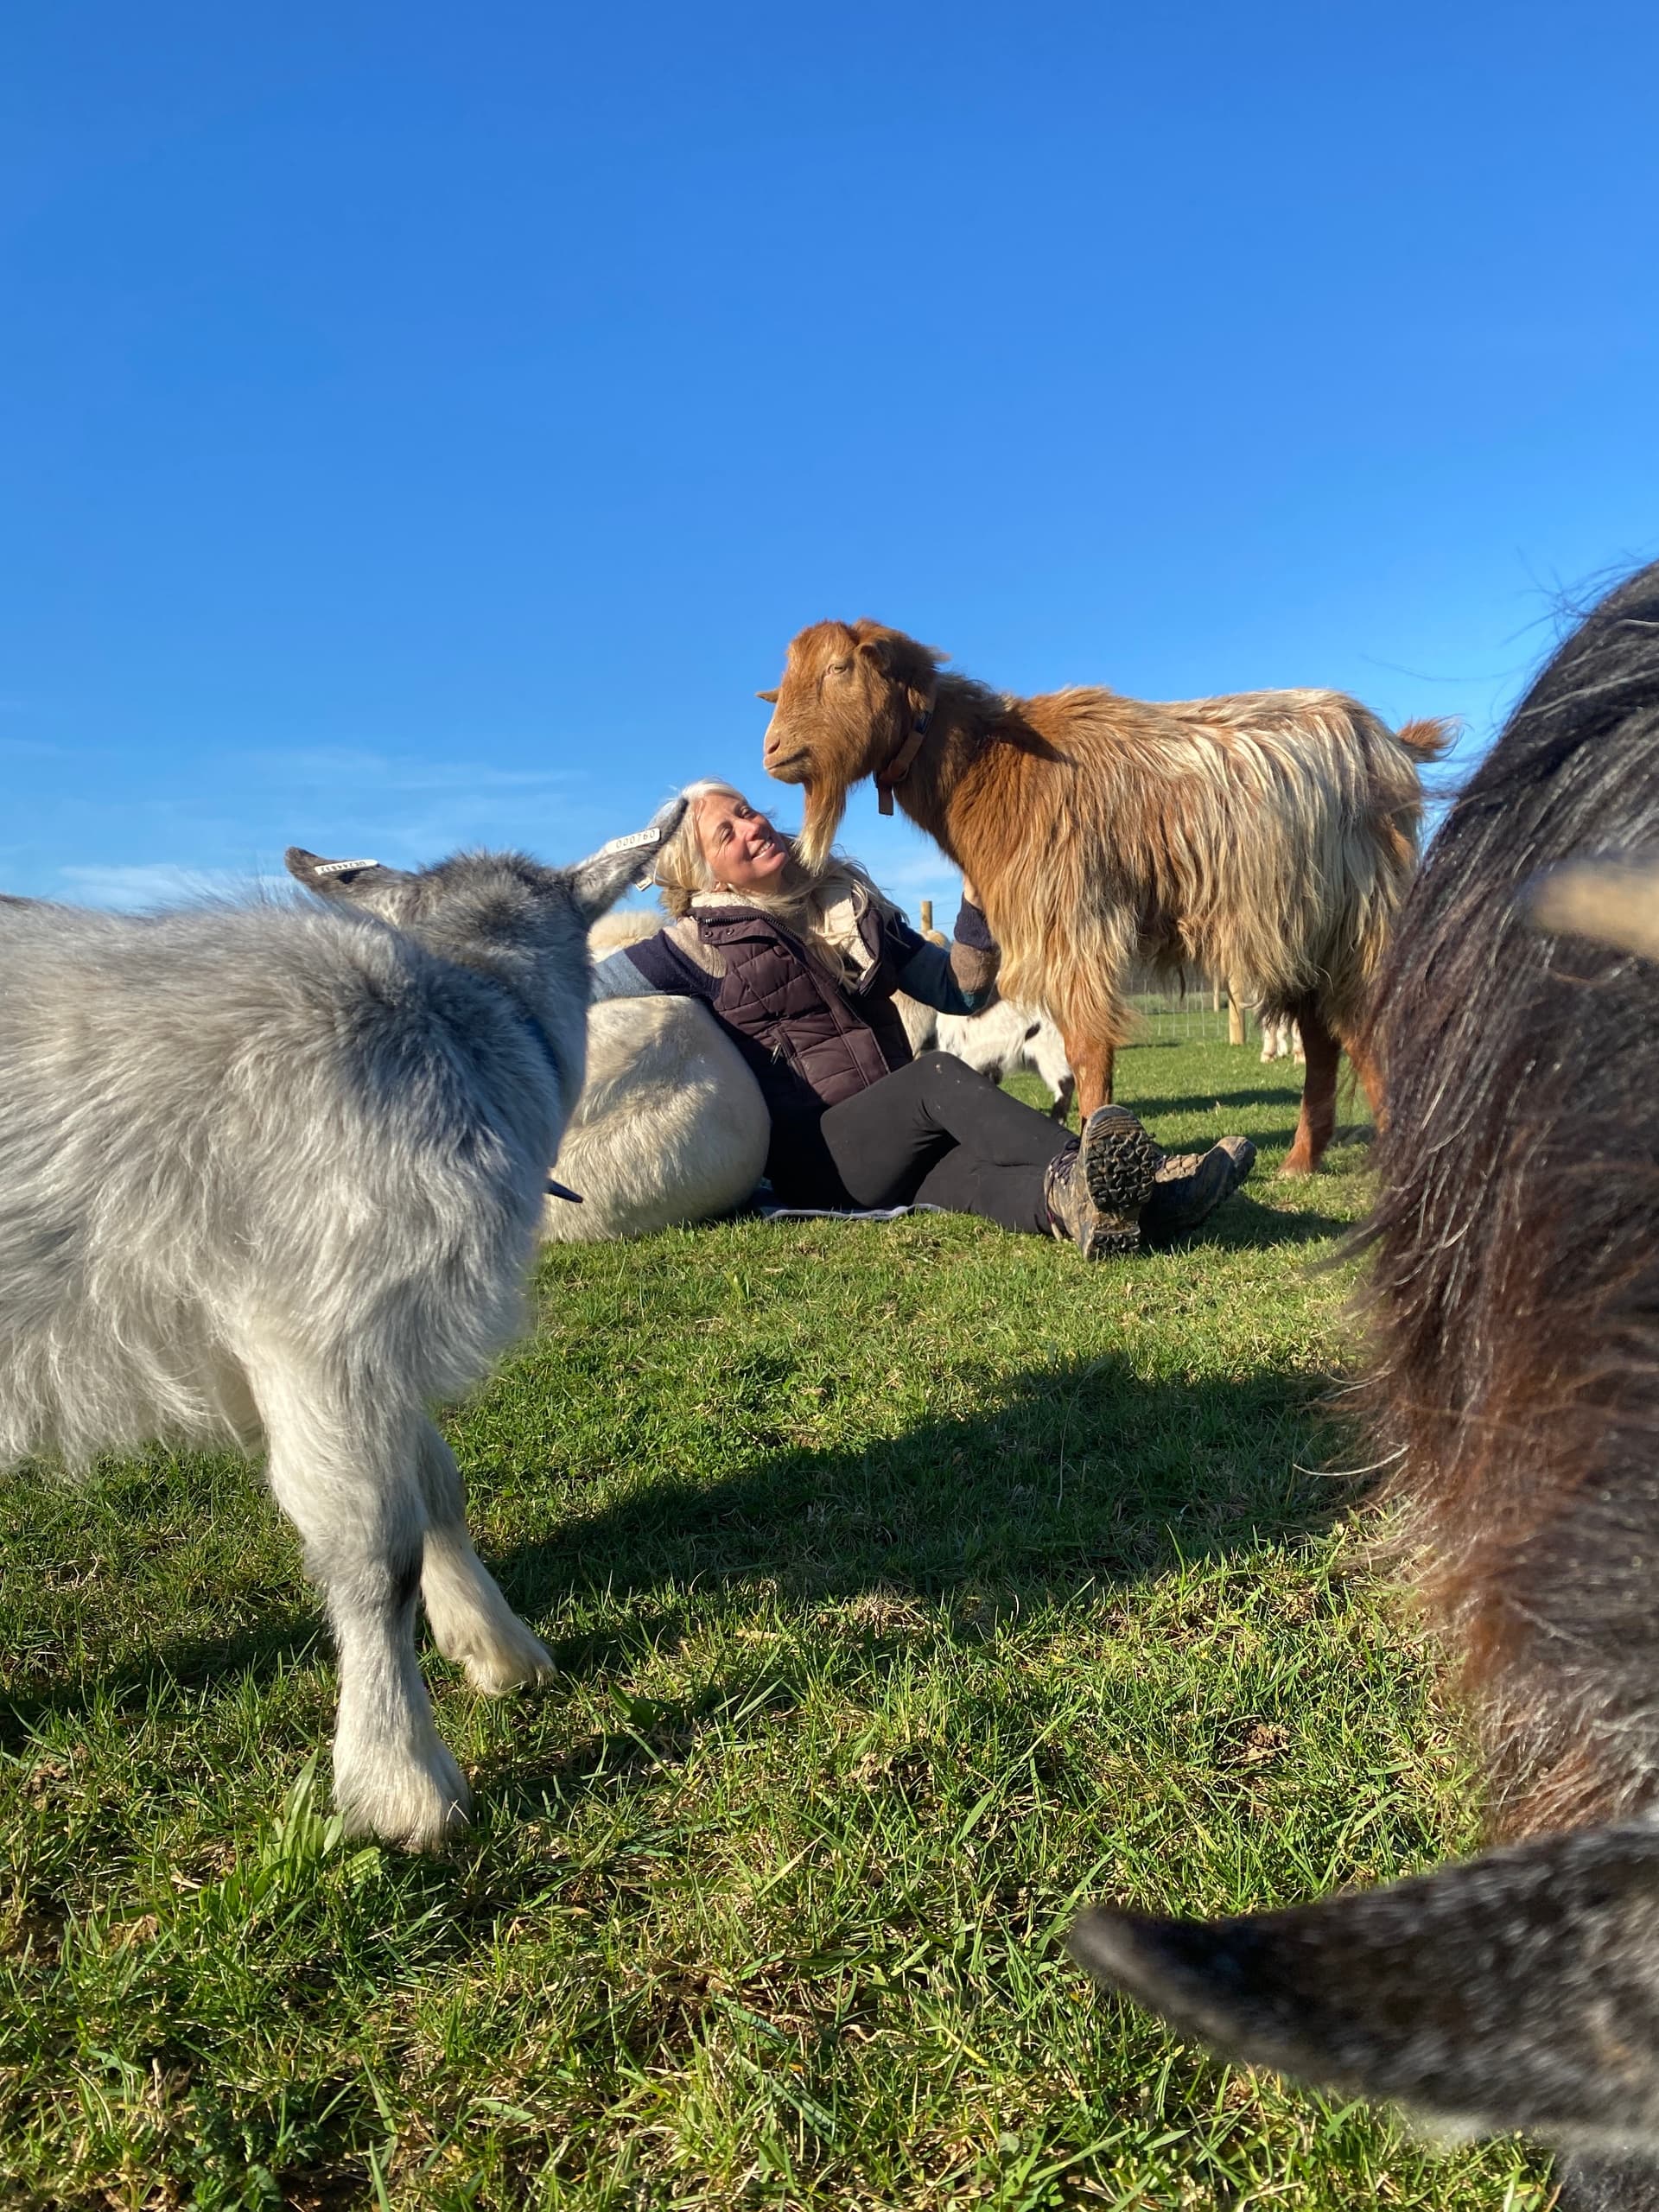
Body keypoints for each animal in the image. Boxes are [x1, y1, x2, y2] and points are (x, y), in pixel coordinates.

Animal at [0, 802, 683, 1850]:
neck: (467, 1015)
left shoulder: (368, 1338)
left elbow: (438, 1483)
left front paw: (498, 1648)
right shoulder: (315, 1320)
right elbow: (373, 1549)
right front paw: (404, 1782)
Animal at [758, 622, 1449, 1172]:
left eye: (840, 668)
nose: (771, 750)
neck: (992, 767)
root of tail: (1388, 742)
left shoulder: (1077, 921)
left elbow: (1088, 1048)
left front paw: (1097, 1149)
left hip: (1353, 915)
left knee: (1366, 1027)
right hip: (1301, 931)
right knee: (1326, 1036)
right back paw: (1302, 1161)